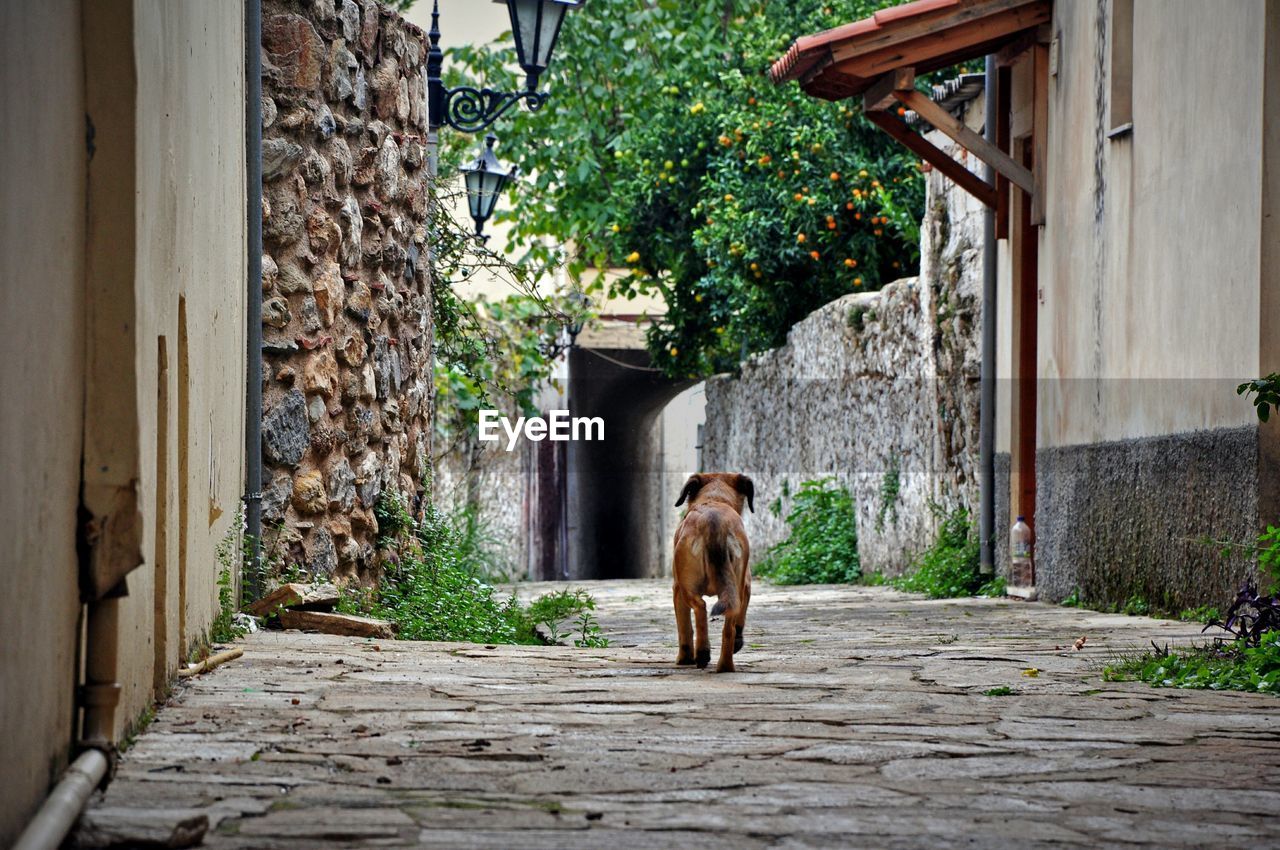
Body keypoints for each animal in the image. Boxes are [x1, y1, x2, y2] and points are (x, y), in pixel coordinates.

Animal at [670, 471, 747, 670]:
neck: (714, 498)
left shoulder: (677, 590)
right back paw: (725, 666)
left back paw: (703, 652)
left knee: (700, 607)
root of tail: (715, 522)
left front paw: (685, 658)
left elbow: (684, 628)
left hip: (686, 586)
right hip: (735, 587)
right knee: (729, 626)